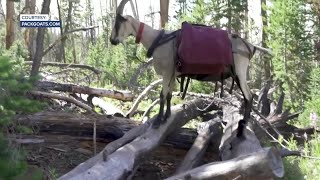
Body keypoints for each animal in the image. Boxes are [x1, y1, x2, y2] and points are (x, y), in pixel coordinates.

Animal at [110, 0, 272, 137]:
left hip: (240, 71)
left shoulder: (166, 72)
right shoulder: (172, 73)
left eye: (118, 22)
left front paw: (157, 121)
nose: (112, 40)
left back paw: (244, 124)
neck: (158, 40)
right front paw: (167, 117)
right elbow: (169, 95)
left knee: (249, 96)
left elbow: (162, 96)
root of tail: (250, 47)